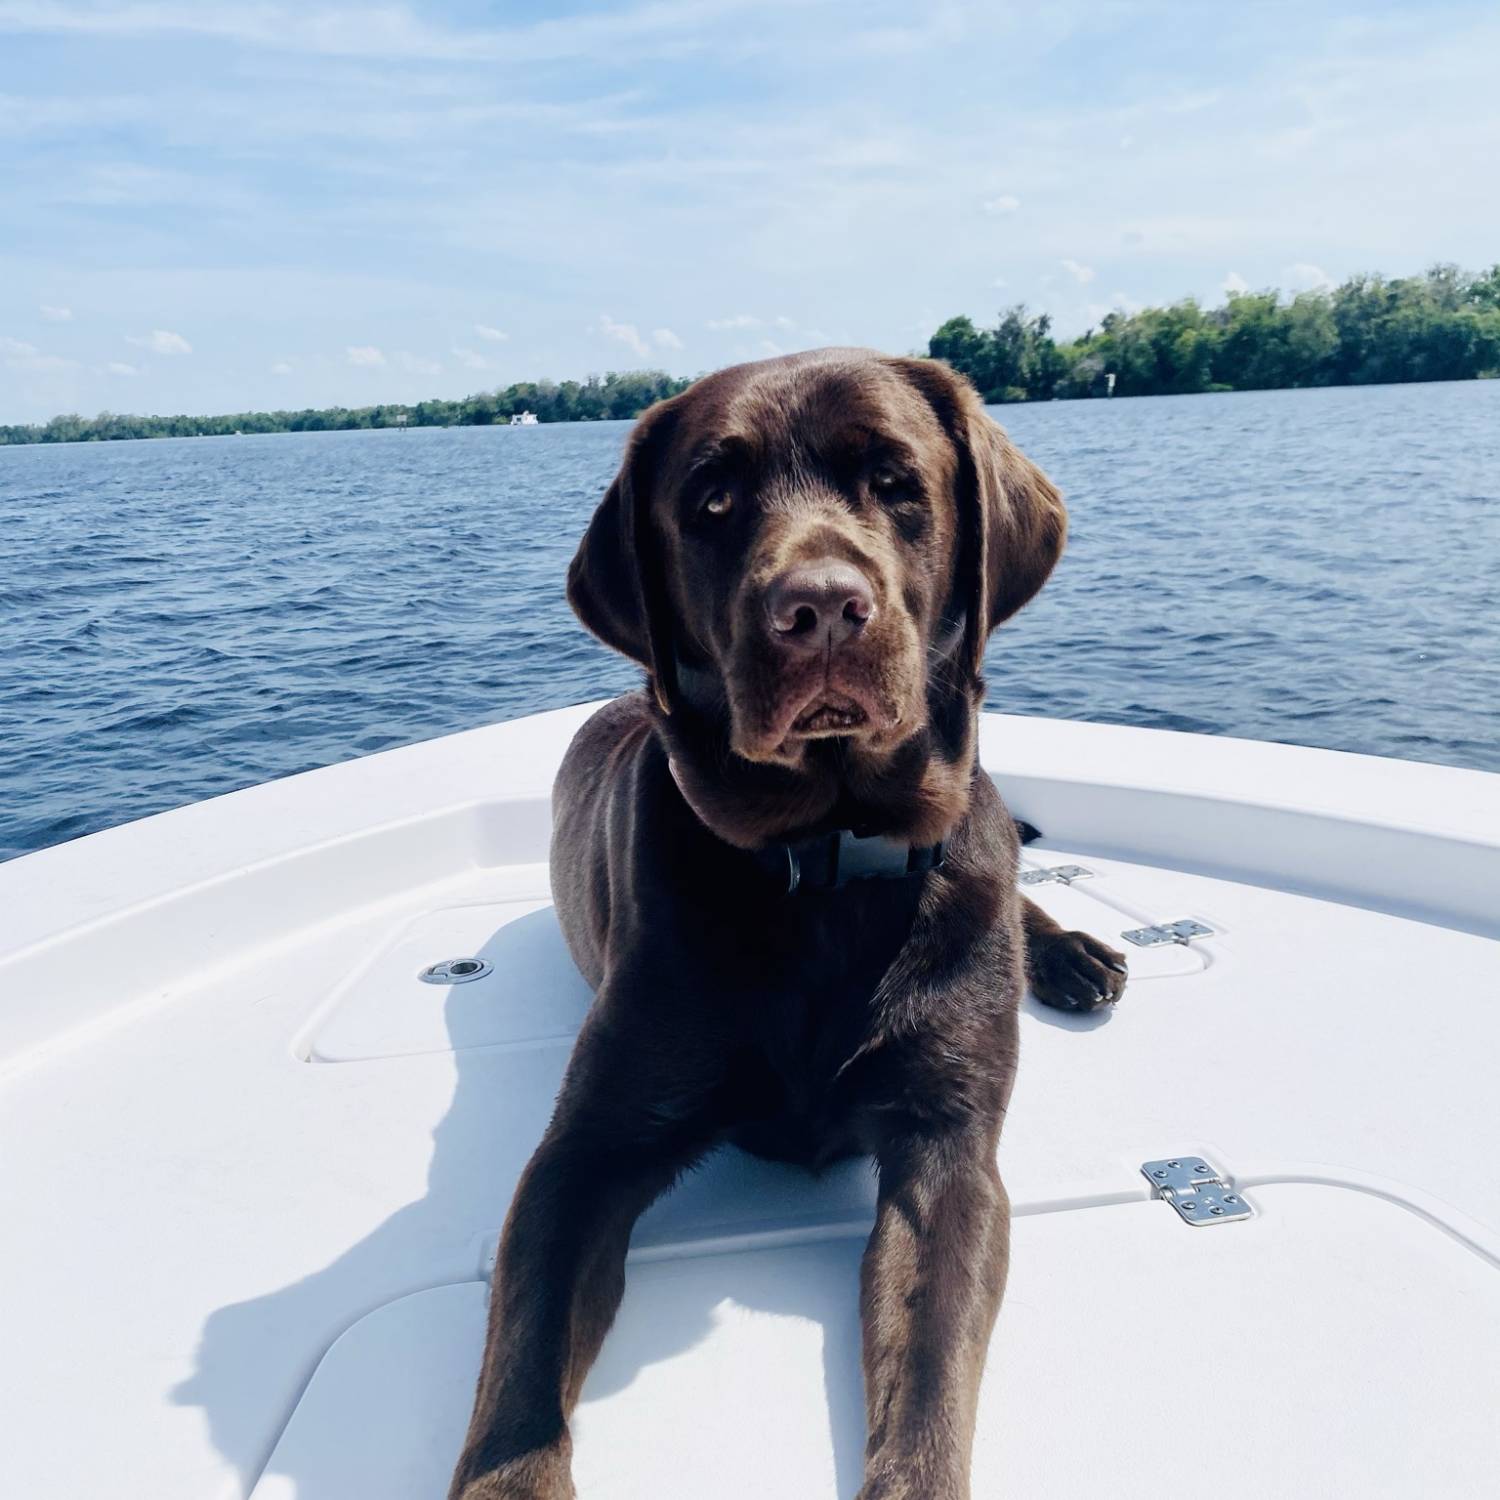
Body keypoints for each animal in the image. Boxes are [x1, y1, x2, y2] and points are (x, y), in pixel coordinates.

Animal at [444, 348, 1128, 1500]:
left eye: (896, 482)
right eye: (711, 501)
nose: (819, 609)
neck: (827, 868)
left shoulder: (948, 1153)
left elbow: (929, 1380)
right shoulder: (582, 1151)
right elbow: (522, 1372)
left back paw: (1071, 953)